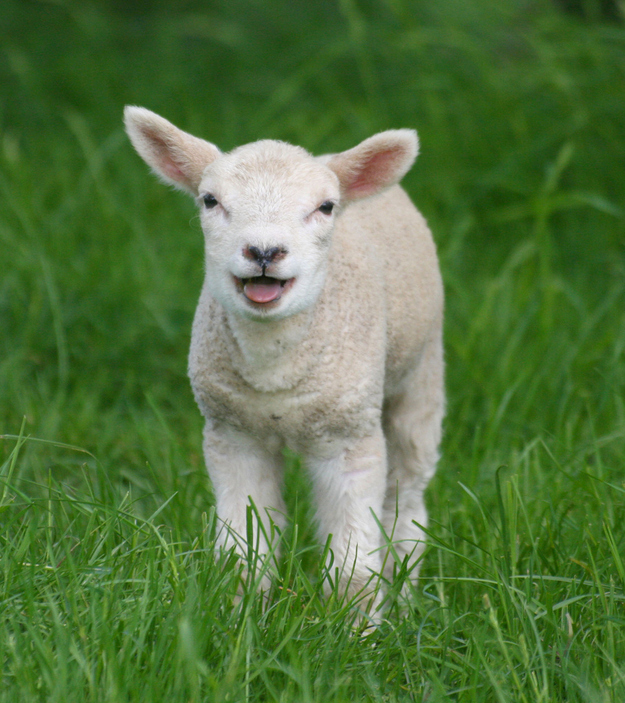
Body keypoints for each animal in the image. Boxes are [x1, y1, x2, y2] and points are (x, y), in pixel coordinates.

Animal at [124, 106, 445, 614]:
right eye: (209, 200)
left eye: (326, 207)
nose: (264, 252)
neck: (273, 372)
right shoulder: (234, 434)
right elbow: (243, 552)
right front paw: (237, 616)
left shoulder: (349, 437)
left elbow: (355, 566)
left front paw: (357, 628)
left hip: (422, 371)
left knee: (407, 497)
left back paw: (407, 593)